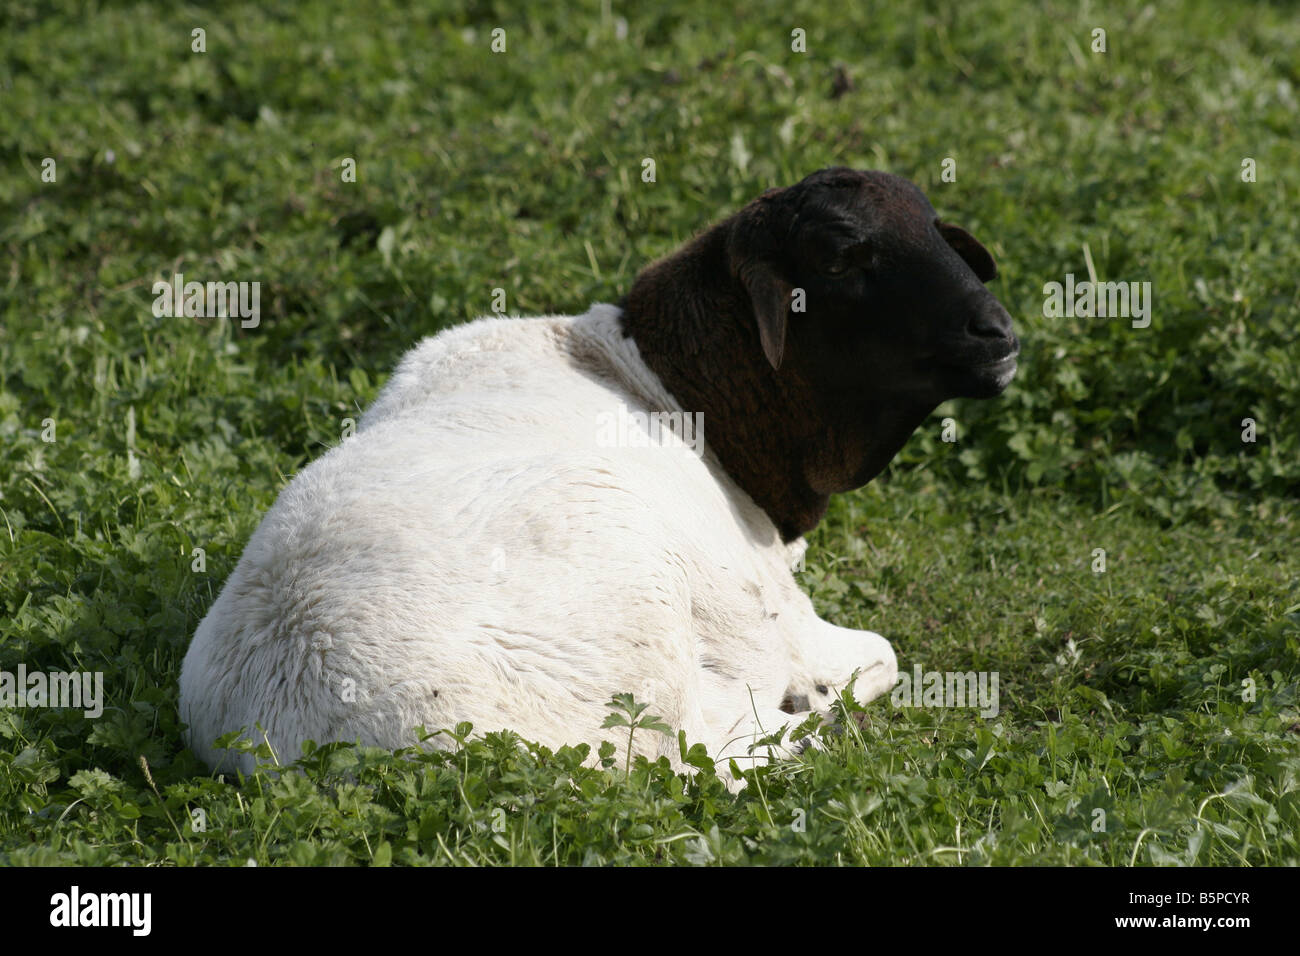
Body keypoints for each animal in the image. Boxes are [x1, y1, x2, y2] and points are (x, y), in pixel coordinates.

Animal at [180, 166, 1013, 780]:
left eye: (936, 228)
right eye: (843, 255)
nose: (999, 333)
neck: (673, 391)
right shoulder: (770, 615)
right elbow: (881, 655)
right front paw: (817, 693)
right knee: (706, 751)